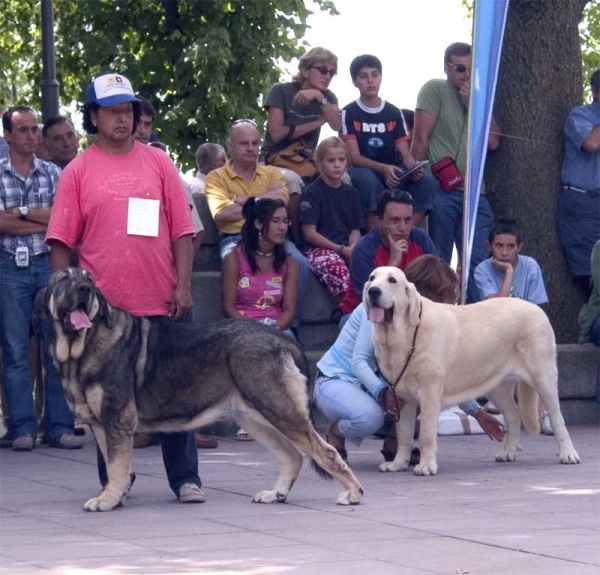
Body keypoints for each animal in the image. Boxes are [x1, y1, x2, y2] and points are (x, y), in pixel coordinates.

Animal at [38, 270, 366, 512]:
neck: (84, 343)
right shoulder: (101, 426)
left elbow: (117, 466)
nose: (84, 289)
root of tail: (282, 339)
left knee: (326, 452)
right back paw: (276, 494)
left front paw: (106, 500)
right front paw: (114, 495)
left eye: (89, 280)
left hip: (280, 410)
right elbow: (113, 464)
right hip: (254, 417)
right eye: (63, 280)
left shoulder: (117, 422)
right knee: (293, 457)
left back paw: (353, 493)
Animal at [364, 268, 580, 474]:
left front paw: (426, 466)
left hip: (543, 377)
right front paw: (397, 464)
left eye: (392, 280)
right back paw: (508, 452)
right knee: (513, 415)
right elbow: (404, 436)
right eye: (372, 278)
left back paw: (568, 454)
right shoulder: (401, 399)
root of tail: (536, 308)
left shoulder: (429, 395)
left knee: (557, 418)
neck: (403, 335)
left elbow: (425, 435)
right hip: (497, 387)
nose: (373, 291)